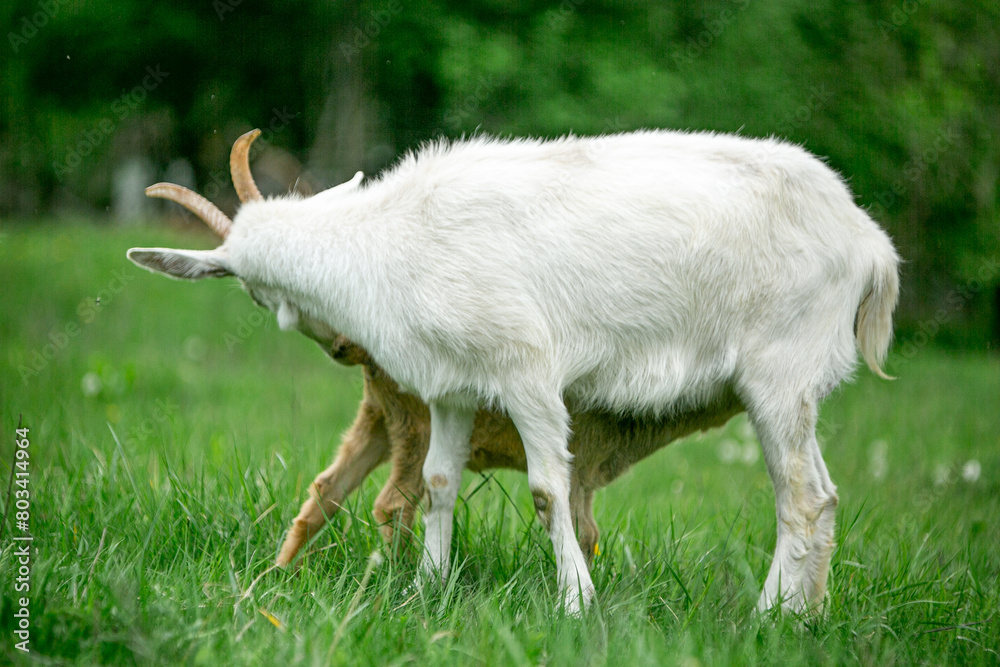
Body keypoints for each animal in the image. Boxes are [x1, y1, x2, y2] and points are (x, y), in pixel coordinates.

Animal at [128, 128, 899, 614]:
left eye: (254, 294)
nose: (343, 349)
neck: (390, 240)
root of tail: (869, 243)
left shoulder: (525, 371)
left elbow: (549, 491)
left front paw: (576, 603)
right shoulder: (452, 387)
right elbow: (437, 482)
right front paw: (429, 589)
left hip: (779, 374)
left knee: (805, 498)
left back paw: (771, 618)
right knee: (817, 496)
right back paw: (806, 613)